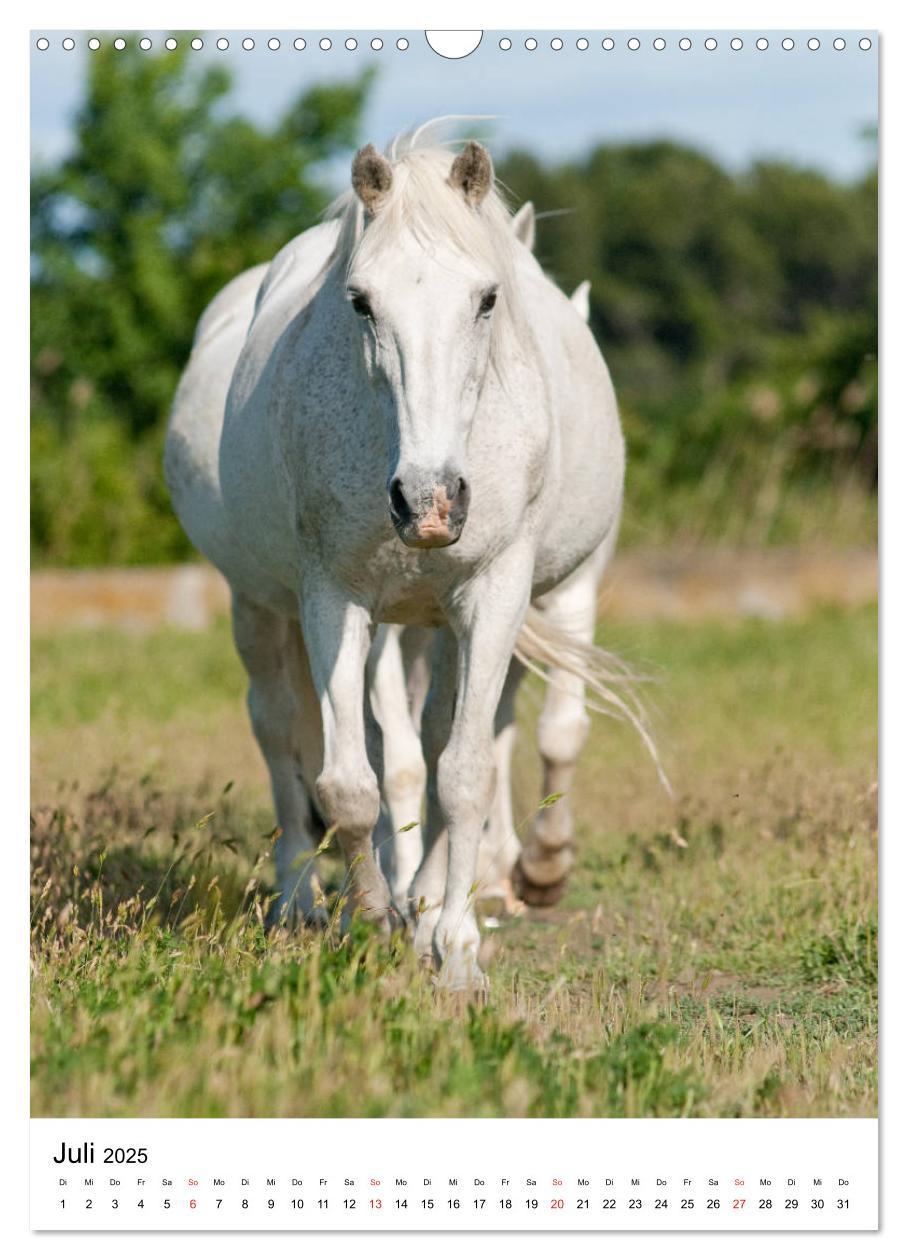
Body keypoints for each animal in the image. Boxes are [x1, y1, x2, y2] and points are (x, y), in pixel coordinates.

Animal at [164, 127, 644, 992]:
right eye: (361, 301)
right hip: (259, 605)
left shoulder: (501, 596)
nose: (429, 500)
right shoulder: (335, 599)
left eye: (487, 298)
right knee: (280, 726)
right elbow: (353, 783)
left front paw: (454, 946)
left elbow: (467, 766)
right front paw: (374, 918)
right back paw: (301, 897)